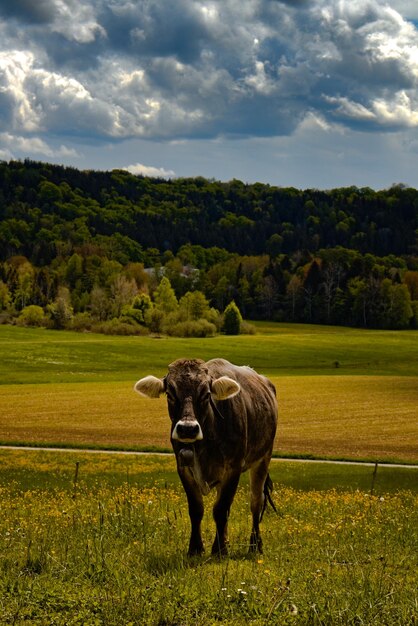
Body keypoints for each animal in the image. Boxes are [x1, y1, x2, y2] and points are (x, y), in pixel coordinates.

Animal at [134, 358, 278, 552]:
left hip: (263, 458)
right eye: (170, 394)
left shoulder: (233, 468)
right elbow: (197, 509)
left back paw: (255, 545)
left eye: (206, 394)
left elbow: (221, 509)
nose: (187, 429)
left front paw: (218, 549)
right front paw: (196, 548)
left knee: (256, 502)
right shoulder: (184, 467)